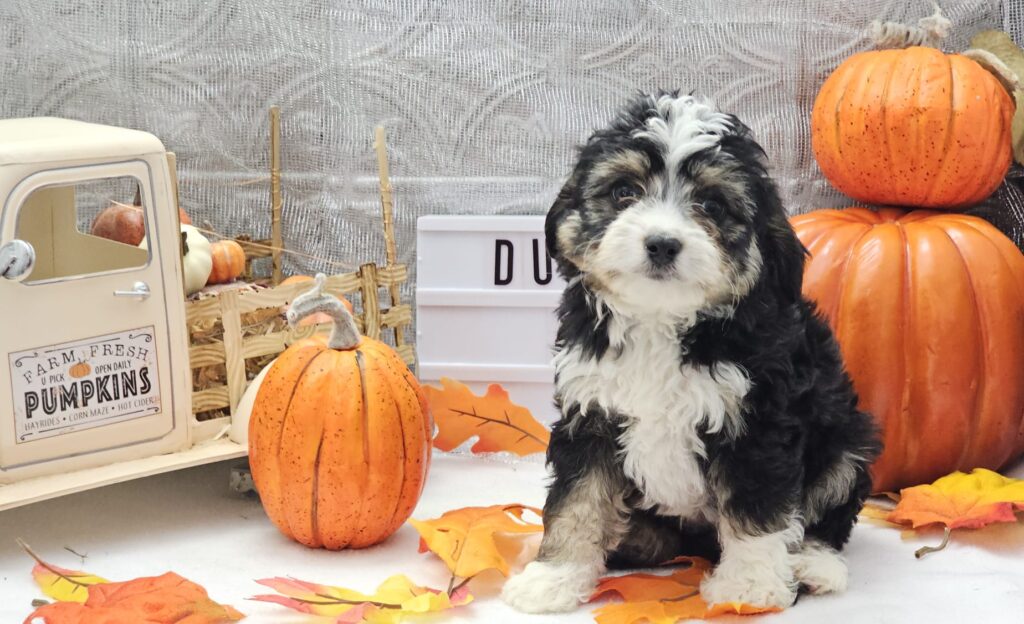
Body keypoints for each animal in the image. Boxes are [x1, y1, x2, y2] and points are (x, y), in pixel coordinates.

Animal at [501, 93, 880, 614]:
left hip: (847, 440)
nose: (662, 244)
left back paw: (812, 565)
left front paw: (749, 587)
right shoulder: (590, 412)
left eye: (712, 204)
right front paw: (553, 578)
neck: (661, 320)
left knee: (829, 510)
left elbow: (757, 505)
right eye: (624, 191)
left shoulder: (757, 422)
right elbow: (576, 500)